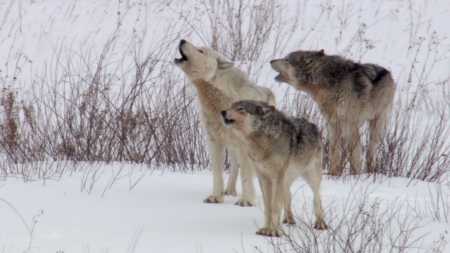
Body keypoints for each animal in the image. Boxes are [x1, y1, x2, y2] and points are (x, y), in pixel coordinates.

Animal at [174, 39, 276, 206]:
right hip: (232, 146)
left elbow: (246, 176)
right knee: (234, 167)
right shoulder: (214, 141)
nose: (182, 40)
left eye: (201, 51)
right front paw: (216, 197)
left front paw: (246, 201)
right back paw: (230, 191)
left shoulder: (244, 146)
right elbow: (218, 173)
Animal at [221, 100, 326, 236]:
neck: (262, 141)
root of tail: (312, 124)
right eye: (231, 107)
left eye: (241, 109)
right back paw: (289, 219)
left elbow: (275, 206)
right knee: (288, 194)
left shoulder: (277, 178)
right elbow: (268, 207)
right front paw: (266, 229)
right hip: (286, 179)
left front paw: (273, 232)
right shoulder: (264, 179)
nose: (222, 112)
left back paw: (320, 223)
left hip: (312, 177)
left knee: (316, 198)